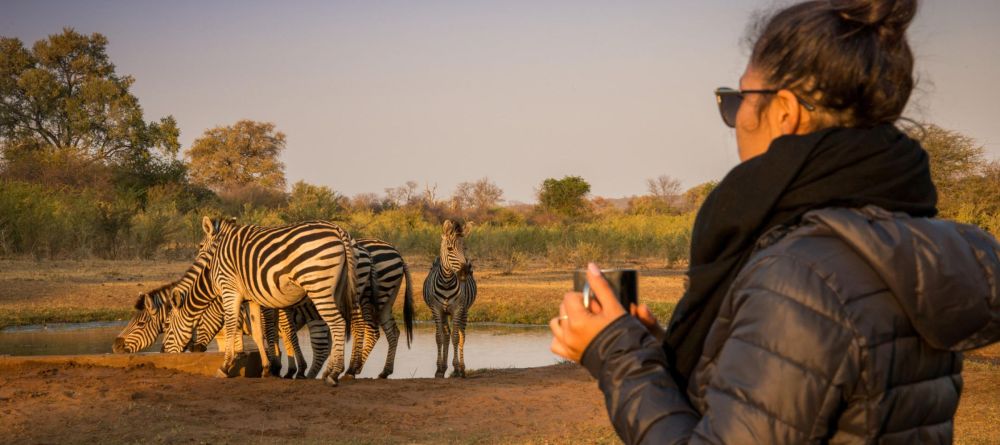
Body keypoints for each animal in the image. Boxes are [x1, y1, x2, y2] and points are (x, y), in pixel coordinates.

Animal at [168, 217, 360, 384]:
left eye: (168, 325)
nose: (164, 352)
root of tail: (338, 230)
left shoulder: (230, 289)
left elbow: (231, 328)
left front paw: (225, 367)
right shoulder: (252, 299)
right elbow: (258, 333)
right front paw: (267, 368)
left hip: (318, 286)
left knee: (337, 324)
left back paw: (333, 374)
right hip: (337, 290)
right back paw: (330, 371)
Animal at [422, 220, 476, 376]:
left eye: (464, 248)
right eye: (450, 248)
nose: (465, 272)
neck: (446, 283)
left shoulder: (457, 309)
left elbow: (456, 338)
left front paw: (457, 368)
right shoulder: (437, 310)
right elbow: (439, 337)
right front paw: (439, 368)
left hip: (464, 310)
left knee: (462, 336)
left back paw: (462, 368)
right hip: (445, 313)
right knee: (446, 335)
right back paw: (443, 367)